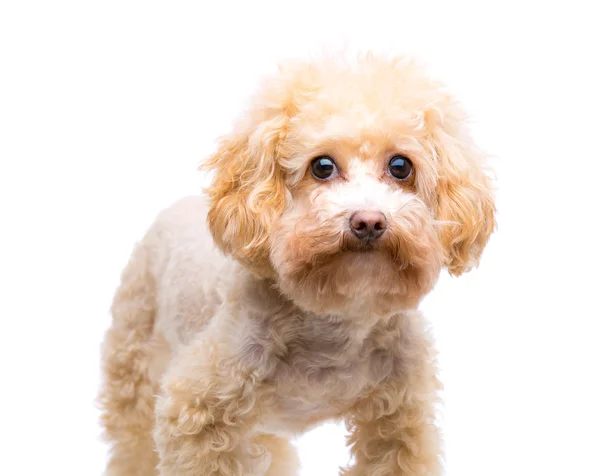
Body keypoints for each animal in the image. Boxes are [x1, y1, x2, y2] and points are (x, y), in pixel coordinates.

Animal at [98, 54, 494, 474]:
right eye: (322, 166)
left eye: (401, 166)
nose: (368, 221)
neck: (333, 318)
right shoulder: (197, 412)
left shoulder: (400, 419)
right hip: (134, 356)